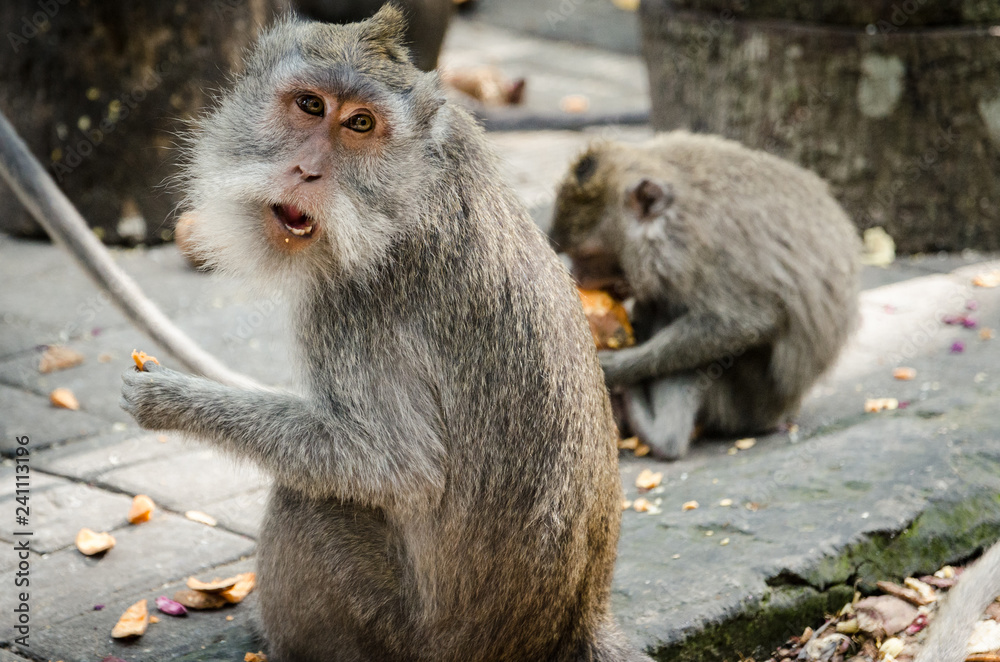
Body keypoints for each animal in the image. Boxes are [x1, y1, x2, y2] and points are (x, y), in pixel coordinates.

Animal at [118, 8, 650, 662]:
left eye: (361, 123)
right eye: (311, 105)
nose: (306, 171)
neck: (407, 190)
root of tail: (572, 624)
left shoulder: (351, 304)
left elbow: (395, 466)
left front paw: (169, 400)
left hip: (396, 631)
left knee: (309, 499)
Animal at [550, 132, 861, 460]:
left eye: (587, 255)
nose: (577, 276)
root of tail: (785, 413)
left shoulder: (693, 250)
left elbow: (747, 323)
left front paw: (617, 368)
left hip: (745, 405)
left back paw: (662, 434)